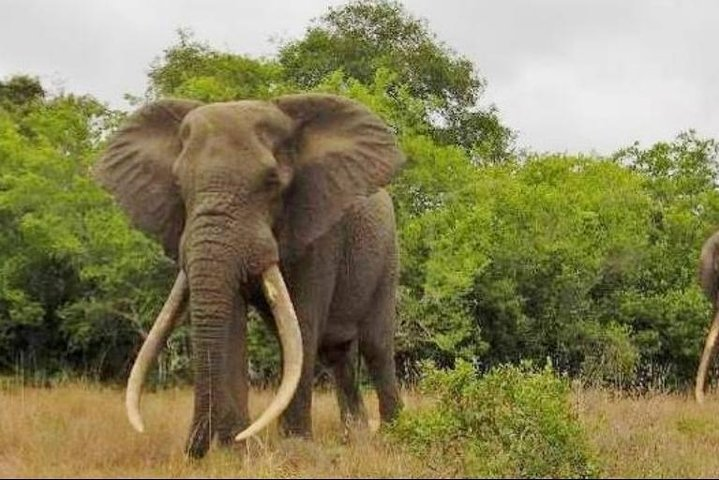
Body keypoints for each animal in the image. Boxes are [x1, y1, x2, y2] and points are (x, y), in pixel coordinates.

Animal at [93, 93, 405, 458]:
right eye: (178, 184)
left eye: (272, 182)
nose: (193, 450)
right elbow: (232, 323)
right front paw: (235, 450)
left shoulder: (318, 229)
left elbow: (302, 324)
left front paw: (294, 449)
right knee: (337, 354)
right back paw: (357, 440)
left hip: (387, 255)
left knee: (375, 345)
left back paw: (394, 435)